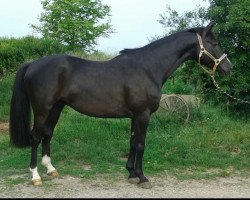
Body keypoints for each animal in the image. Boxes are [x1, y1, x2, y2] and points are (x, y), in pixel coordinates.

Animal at [9, 22, 232, 188]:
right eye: (214, 42)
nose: (228, 67)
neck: (148, 67)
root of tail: (33, 64)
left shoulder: (135, 116)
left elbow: (132, 143)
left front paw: (131, 173)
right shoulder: (143, 114)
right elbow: (141, 144)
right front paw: (142, 178)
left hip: (56, 108)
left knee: (47, 134)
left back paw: (51, 170)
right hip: (42, 110)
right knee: (36, 136)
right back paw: (35, 176)